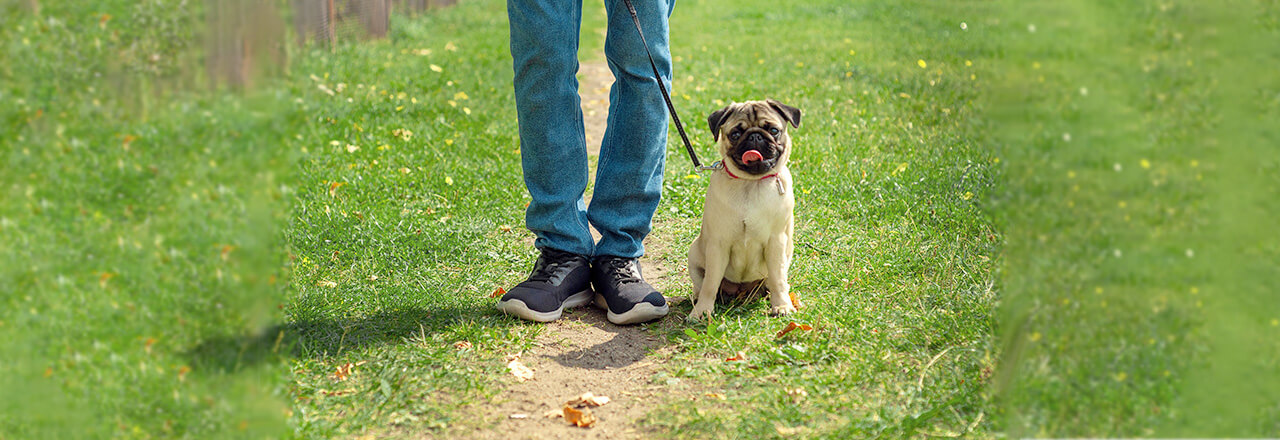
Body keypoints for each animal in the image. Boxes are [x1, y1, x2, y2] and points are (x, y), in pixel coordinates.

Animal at [691, 97, 798, 321]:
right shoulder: (718, 245)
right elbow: (710, 283)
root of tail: (741, 290)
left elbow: (777, 278)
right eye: (735, 134)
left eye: (773, 130)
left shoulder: (776, 242)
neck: (750, 183)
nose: (755, 136)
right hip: (694, 254)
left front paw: (781, 305)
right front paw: (702, 310)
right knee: (702, 284)